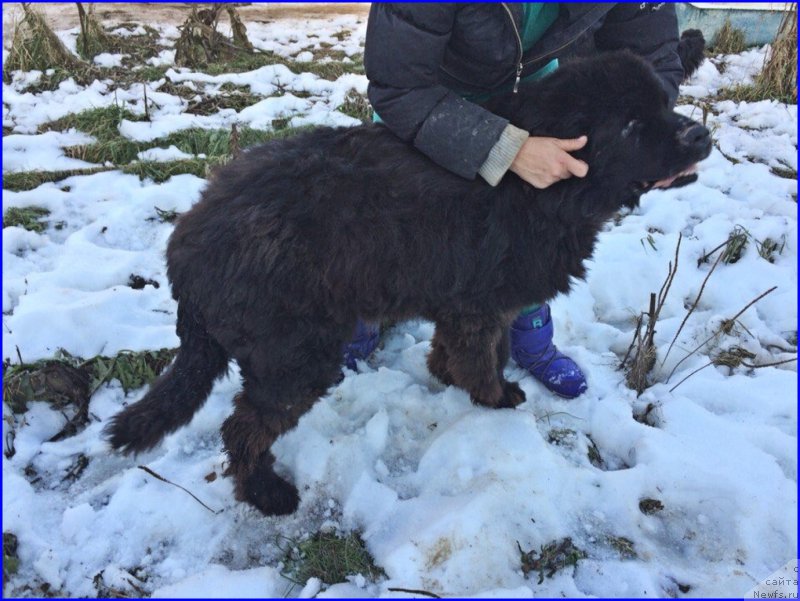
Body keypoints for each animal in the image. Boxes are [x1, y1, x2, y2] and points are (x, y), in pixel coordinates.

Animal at [106, 51, 712, 512]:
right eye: (630, 125)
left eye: (664, 103)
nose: (701, 134)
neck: (543, 190)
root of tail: (187, 243)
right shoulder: (483, 303)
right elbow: (487, 354)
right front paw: (495, 397)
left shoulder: (461, 298)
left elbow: (456, 346)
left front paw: (445, 374)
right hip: (294, 355)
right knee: (244, 428)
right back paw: (266, 492)